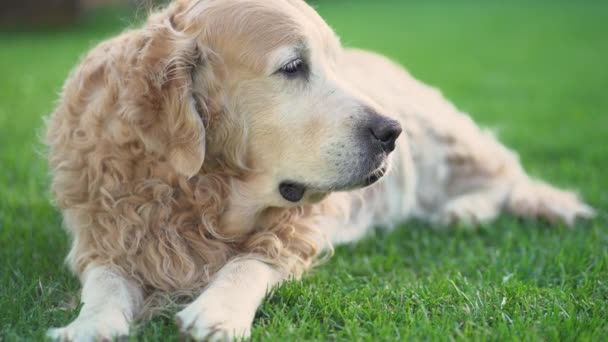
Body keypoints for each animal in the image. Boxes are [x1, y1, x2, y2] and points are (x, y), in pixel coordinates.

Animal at [46, 0, 592, 340]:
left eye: (335, 63)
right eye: (293, 67)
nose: (391, 132)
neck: (199, 192)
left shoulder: (297, 230)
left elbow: (248, 262)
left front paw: (218, 310)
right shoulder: (105, 228)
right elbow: (105, 280)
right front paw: (90, 323)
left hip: (448, 134)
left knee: (508, 173)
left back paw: (487, 208)